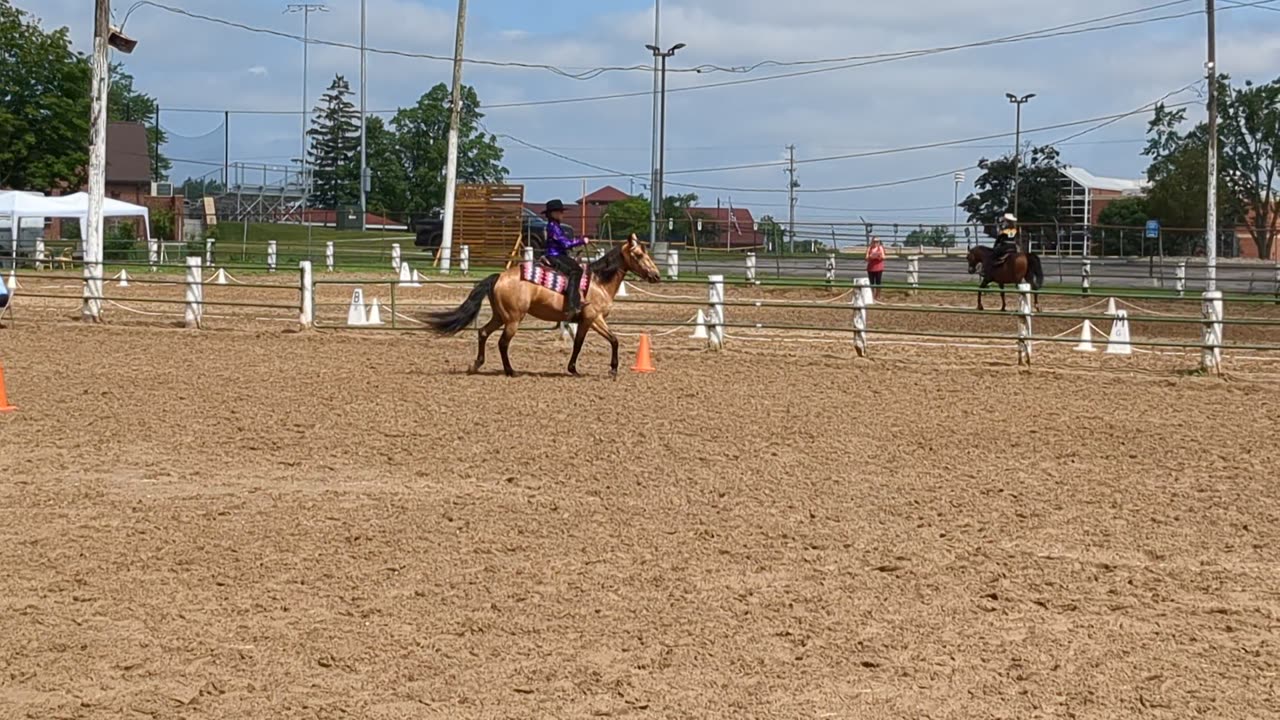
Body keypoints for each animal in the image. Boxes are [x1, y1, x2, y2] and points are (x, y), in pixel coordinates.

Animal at [427, 235, 660, 379]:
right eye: (639, 255)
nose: (656, 275)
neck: (598, 282)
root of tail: (499, 277)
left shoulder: (586, 321)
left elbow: (581, 344)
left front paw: (573, 369)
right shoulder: (593, 318)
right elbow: (612, 340)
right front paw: (610, 370)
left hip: (500, 316)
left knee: (483, 333)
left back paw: (476, 365)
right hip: (513, 319)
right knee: (503, 343)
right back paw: (510, 371)